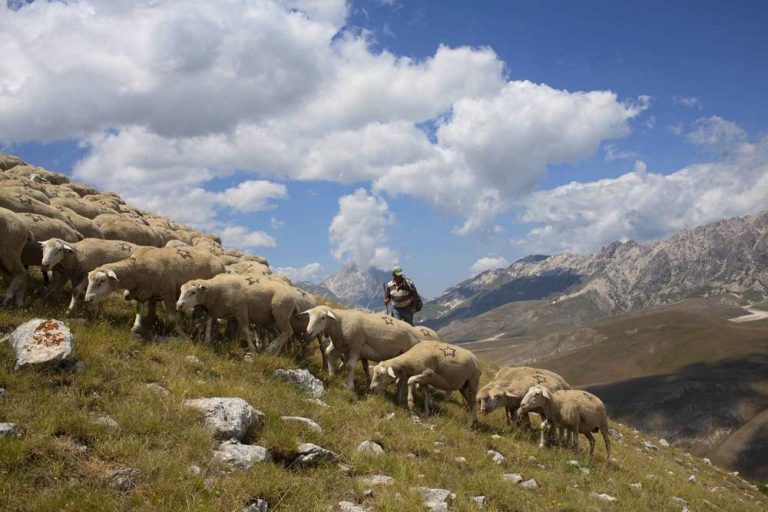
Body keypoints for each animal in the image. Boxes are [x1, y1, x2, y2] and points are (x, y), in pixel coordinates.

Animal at [87, 247, 226, 336]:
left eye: (102, 280)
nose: (88, 299)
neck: (139, 267)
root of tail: (220, 261)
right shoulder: (144, 292)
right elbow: (140, 310)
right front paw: (136, 327)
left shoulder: (168, 293)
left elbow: (172, 317)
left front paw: (181, 334)